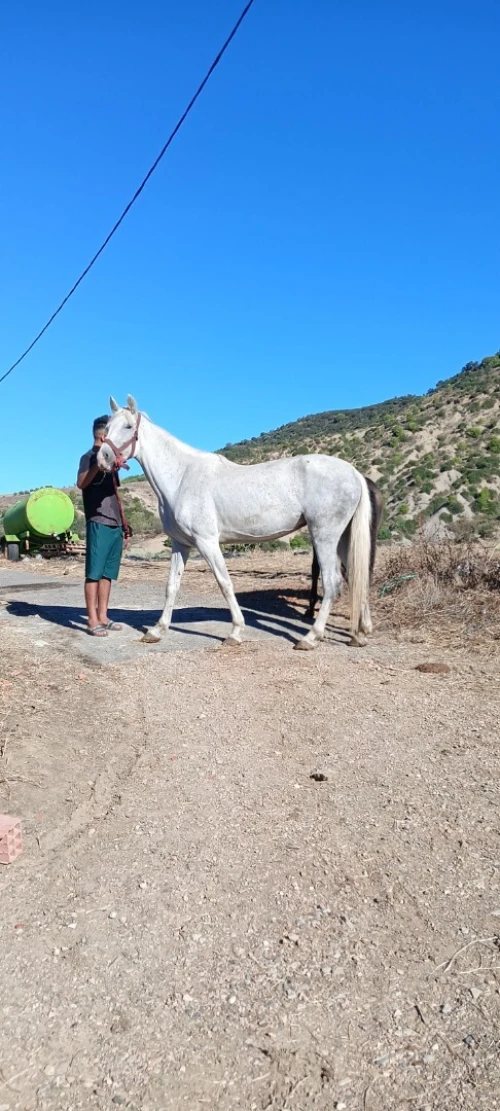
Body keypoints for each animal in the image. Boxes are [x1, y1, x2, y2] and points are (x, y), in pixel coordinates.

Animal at [98, 396, 373, 650]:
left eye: (128, 426)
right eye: (108, 426)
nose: (102, 458)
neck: (181, 476)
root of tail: (353, 472)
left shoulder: (207, 542)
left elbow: (225, 583)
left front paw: (235, 632)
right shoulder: (180, 544)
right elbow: (172, 586)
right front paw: (156, 630)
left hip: (324, 536)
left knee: (333, 583)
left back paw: (310, 637)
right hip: (343, 538)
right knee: (356, 577)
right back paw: (359, 635)